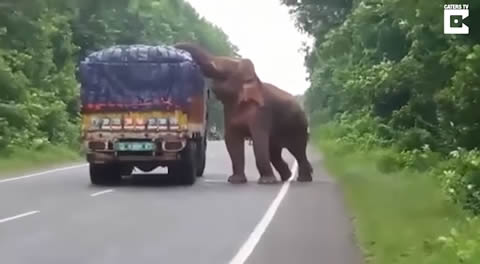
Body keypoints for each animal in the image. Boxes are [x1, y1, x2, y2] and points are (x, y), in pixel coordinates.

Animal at [174, 43, 314, 184]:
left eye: (227, 70)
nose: (173, 46)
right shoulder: (229, 111)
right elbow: (232, 140)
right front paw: (235, 180)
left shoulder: (261, 113)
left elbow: (258, 140)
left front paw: (266, 182)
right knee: (274, 153)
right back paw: (287, 177)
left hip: (299, 126)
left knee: (298, 151)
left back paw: (303, 179)